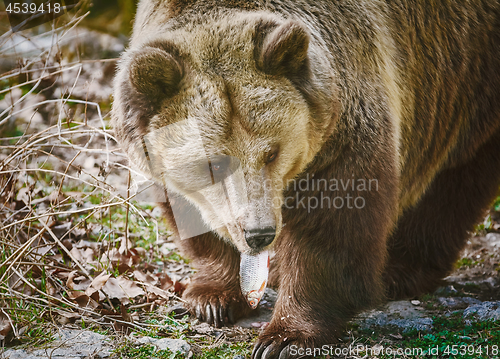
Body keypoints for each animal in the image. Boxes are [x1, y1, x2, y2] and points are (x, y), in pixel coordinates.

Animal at [113, 1, 500, 358]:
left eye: (272, 152)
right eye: (216, 164)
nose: (259, 233)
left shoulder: (344, 122)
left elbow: (330, 225)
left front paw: (285, 337)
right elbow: (192, 215)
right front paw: (211, 298)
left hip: (465, 78)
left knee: (451, 182)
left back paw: (398, 269)